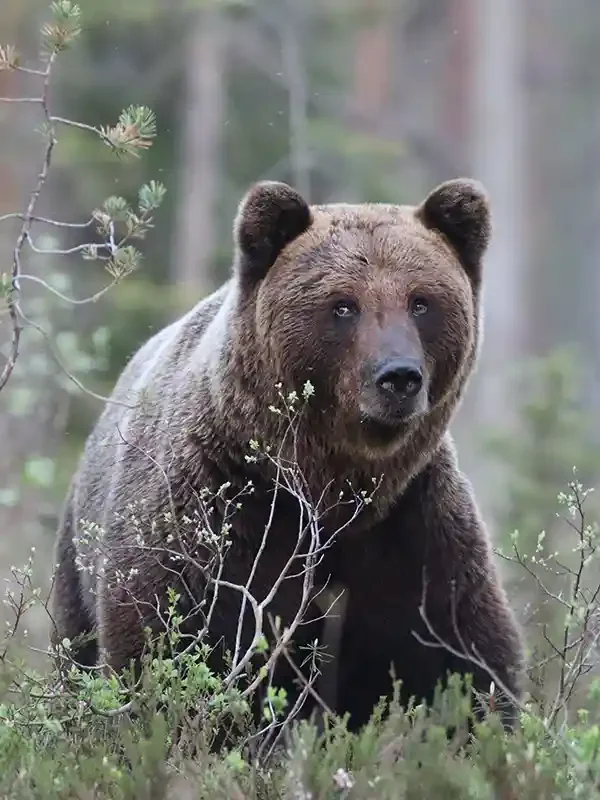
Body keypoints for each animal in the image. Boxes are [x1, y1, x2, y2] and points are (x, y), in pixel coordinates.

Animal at [50, 178, 524, 734]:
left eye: (422, 302)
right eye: (343, 305)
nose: (398, 377)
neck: (326, 487)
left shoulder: (413, 535)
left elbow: (468, 666)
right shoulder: (211, 520)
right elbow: (164, 649)